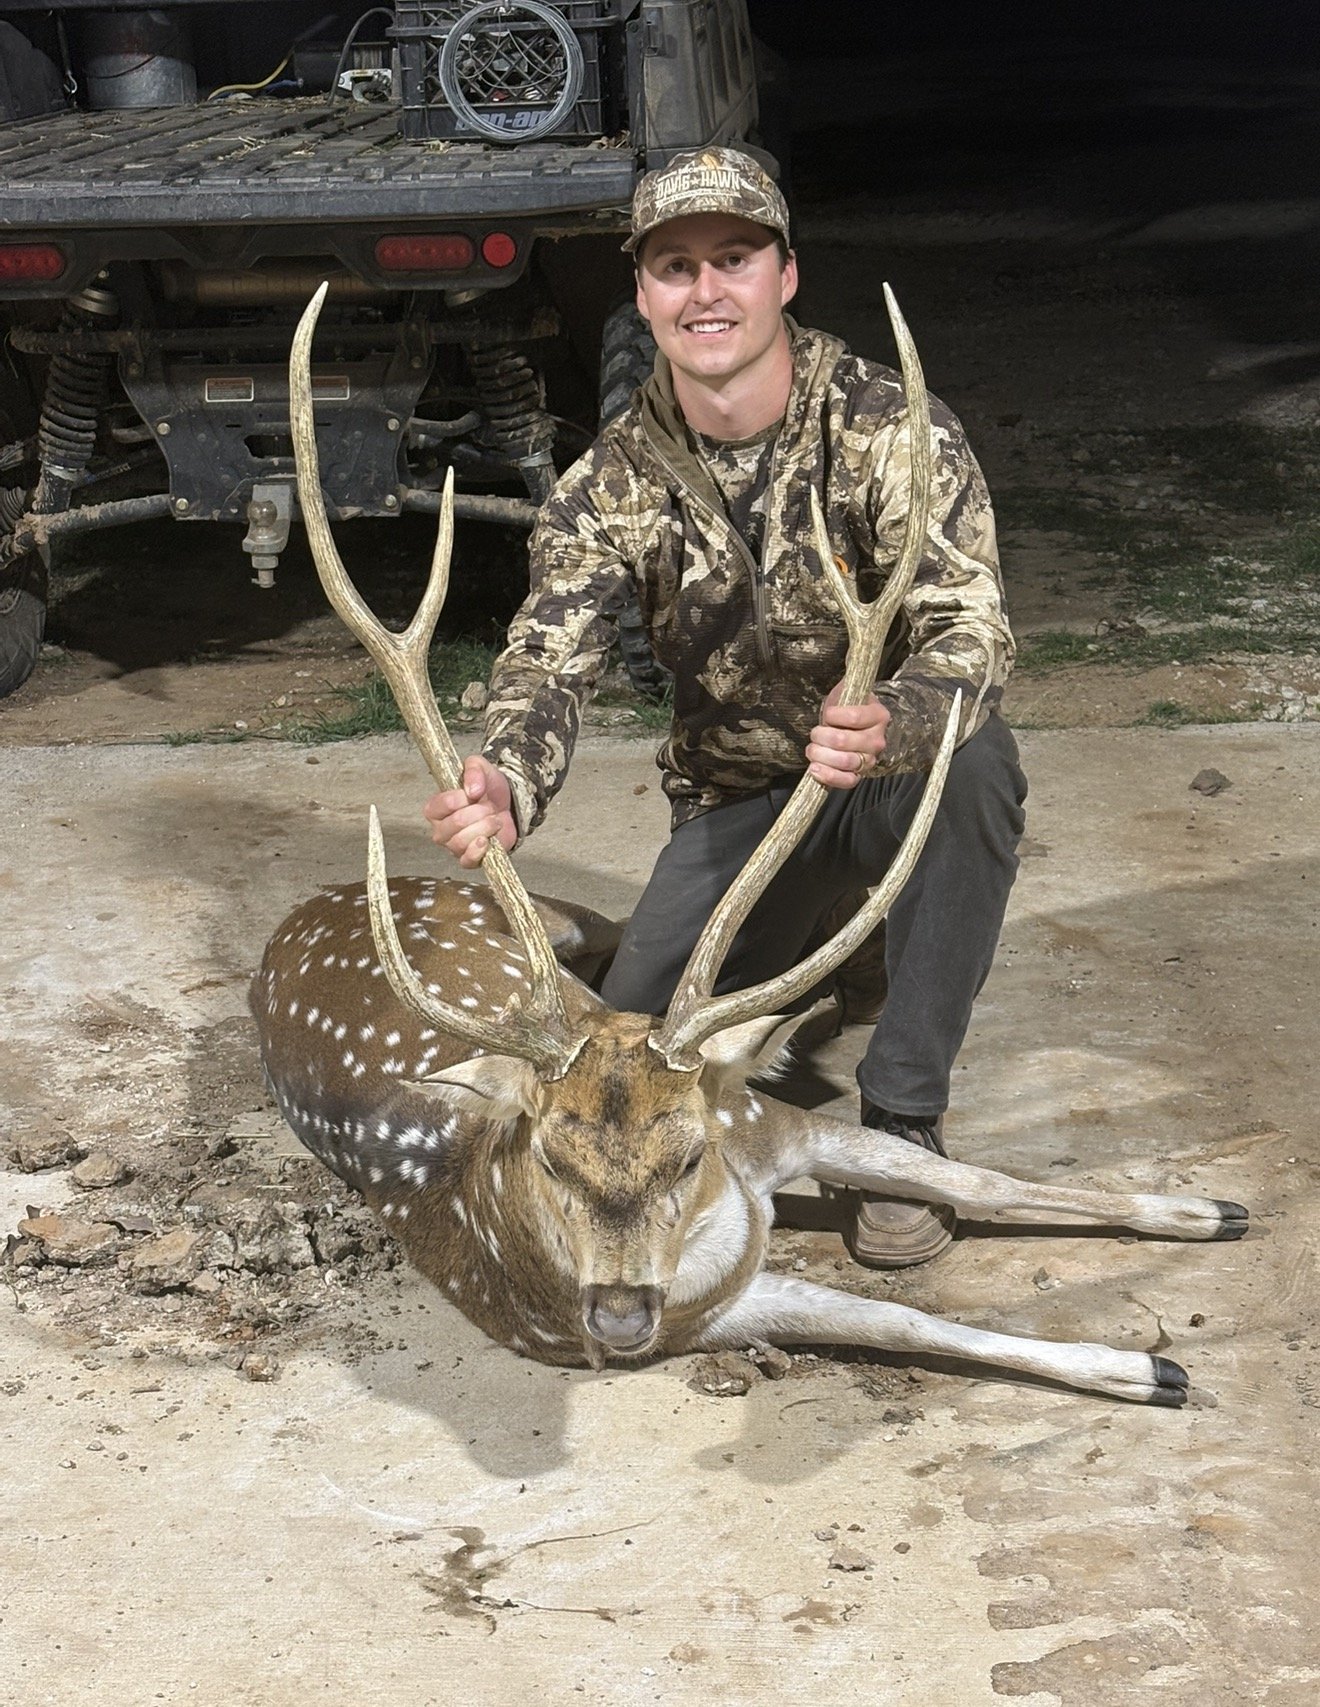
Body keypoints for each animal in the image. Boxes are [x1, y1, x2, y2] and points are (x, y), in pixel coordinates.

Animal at [251, 283, 1248, 1407]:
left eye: (688, 1156)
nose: (617, 1315)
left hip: (561, 921)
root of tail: (297, 916)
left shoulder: (766, 1124)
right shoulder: (719, 1306)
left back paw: (835, 999)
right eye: (549, 1159)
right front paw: (1150, 1365)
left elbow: (976, 1177)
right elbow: (909, 1323)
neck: (725, 1226)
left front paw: (1205, 1208)